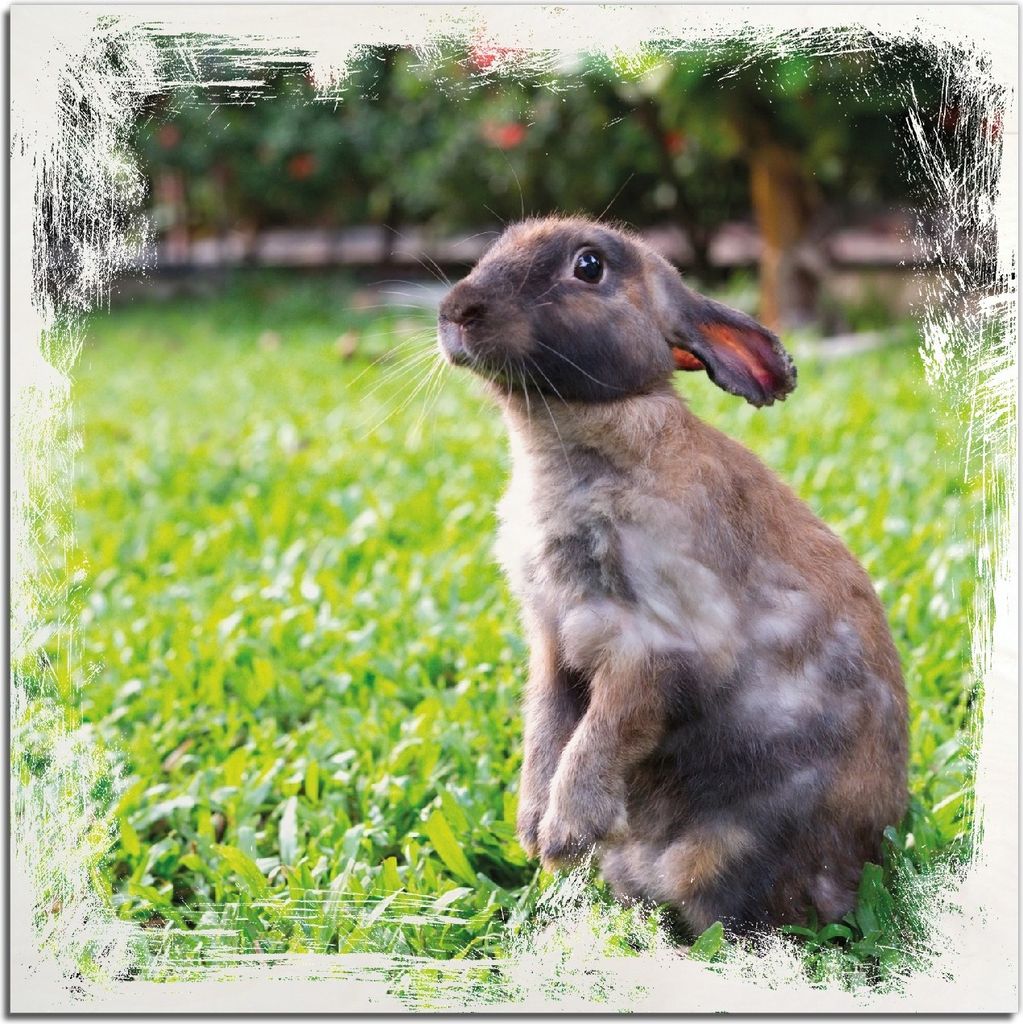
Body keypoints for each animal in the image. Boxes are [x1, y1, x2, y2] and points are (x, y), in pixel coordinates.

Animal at [436, 216, 908, 935]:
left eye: (589, 266)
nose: (456, 310)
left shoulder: (655, 644)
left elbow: (605, 730)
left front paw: (562, 835)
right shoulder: (552, 643)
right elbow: (546, 726)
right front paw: (531, 828)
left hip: (721, 856)